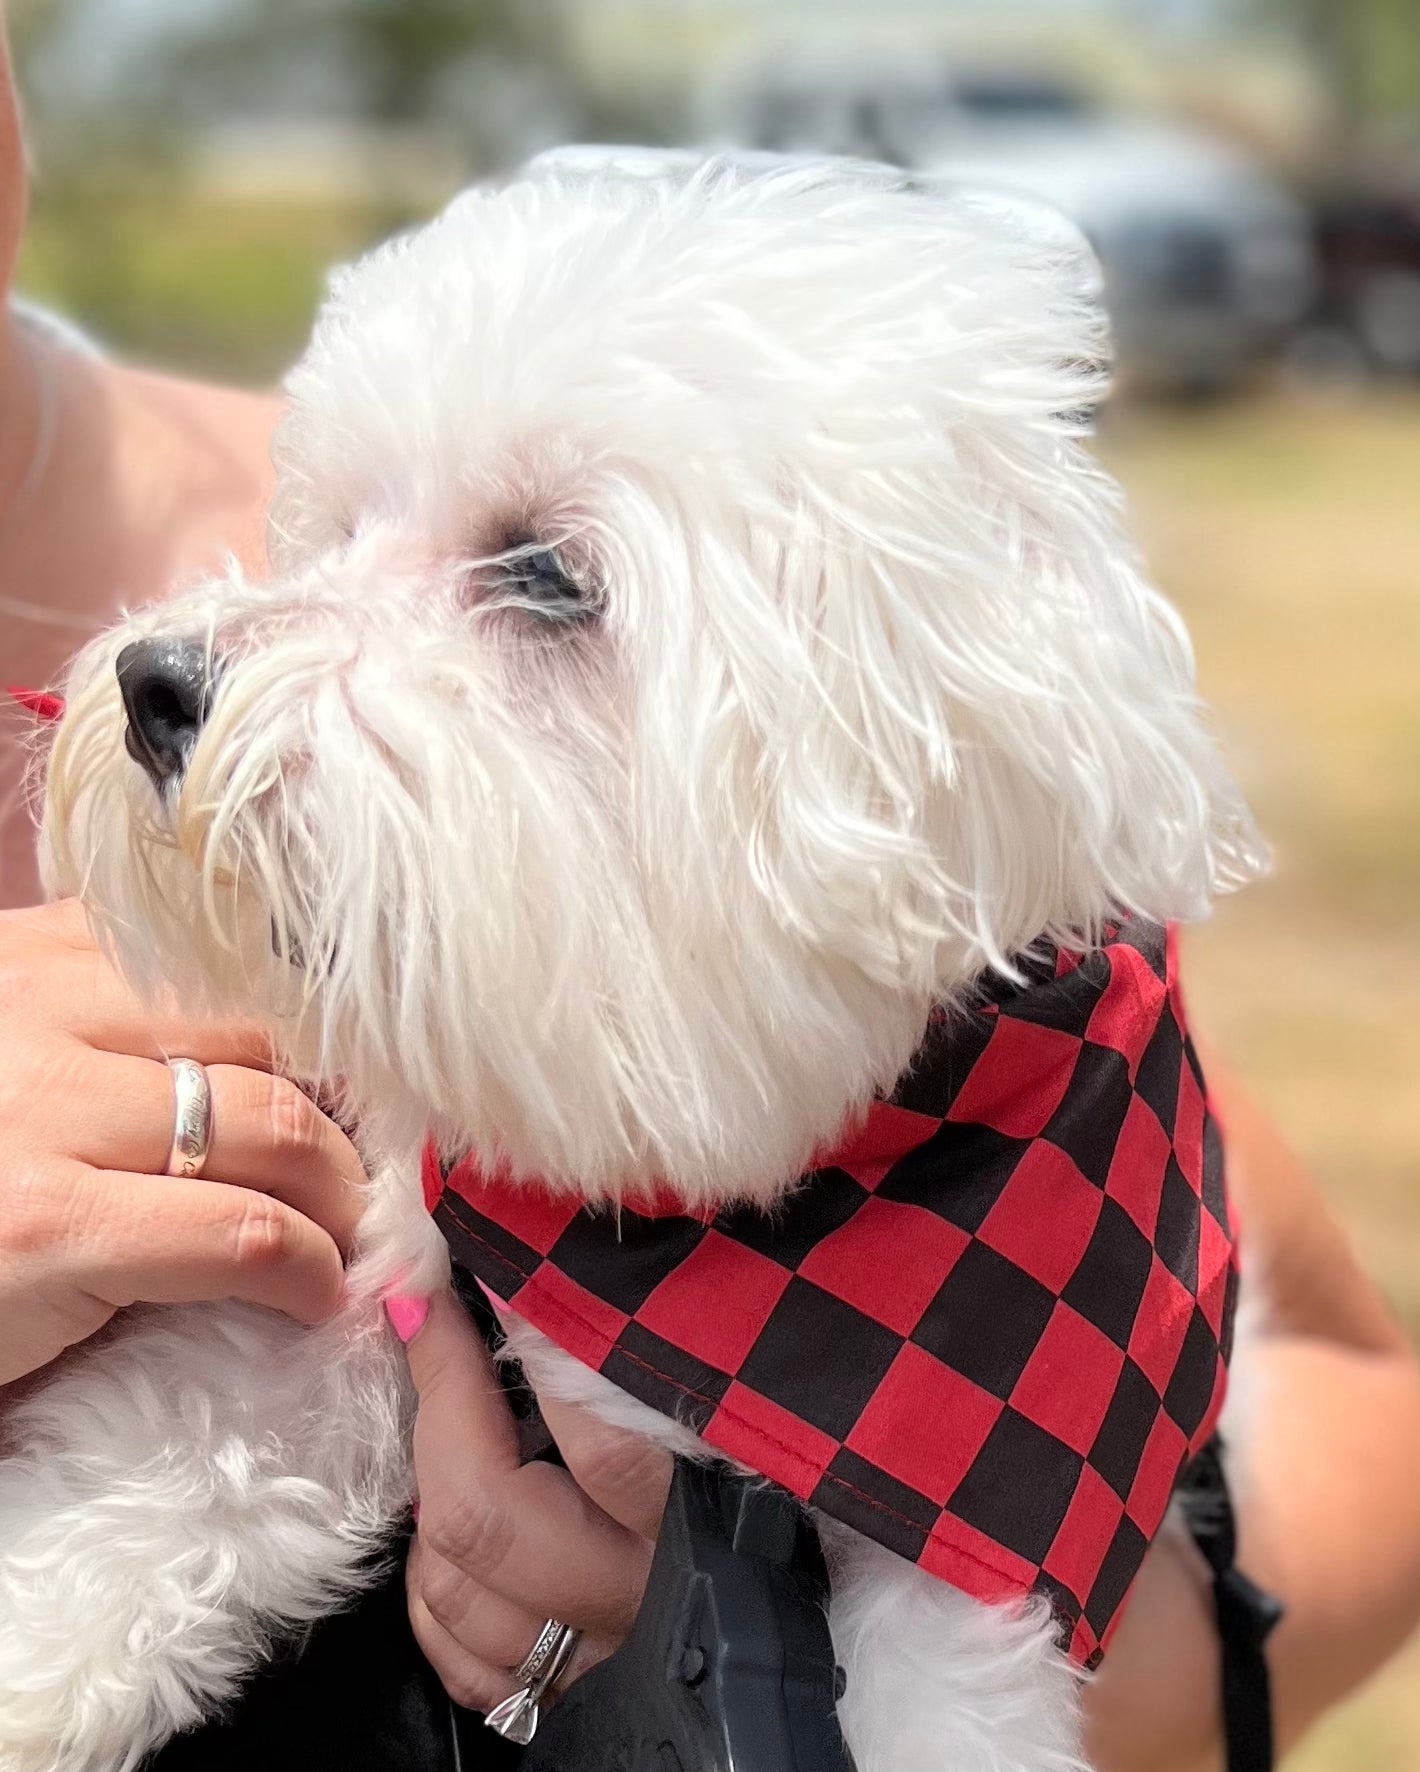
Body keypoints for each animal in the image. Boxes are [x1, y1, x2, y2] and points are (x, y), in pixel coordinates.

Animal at [8, 152, 1262, 1772]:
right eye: (337, 529)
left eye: (546, 573)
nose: (154, 682)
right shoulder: (419, 1277)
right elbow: (198, 1447)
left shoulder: (968, 1540)